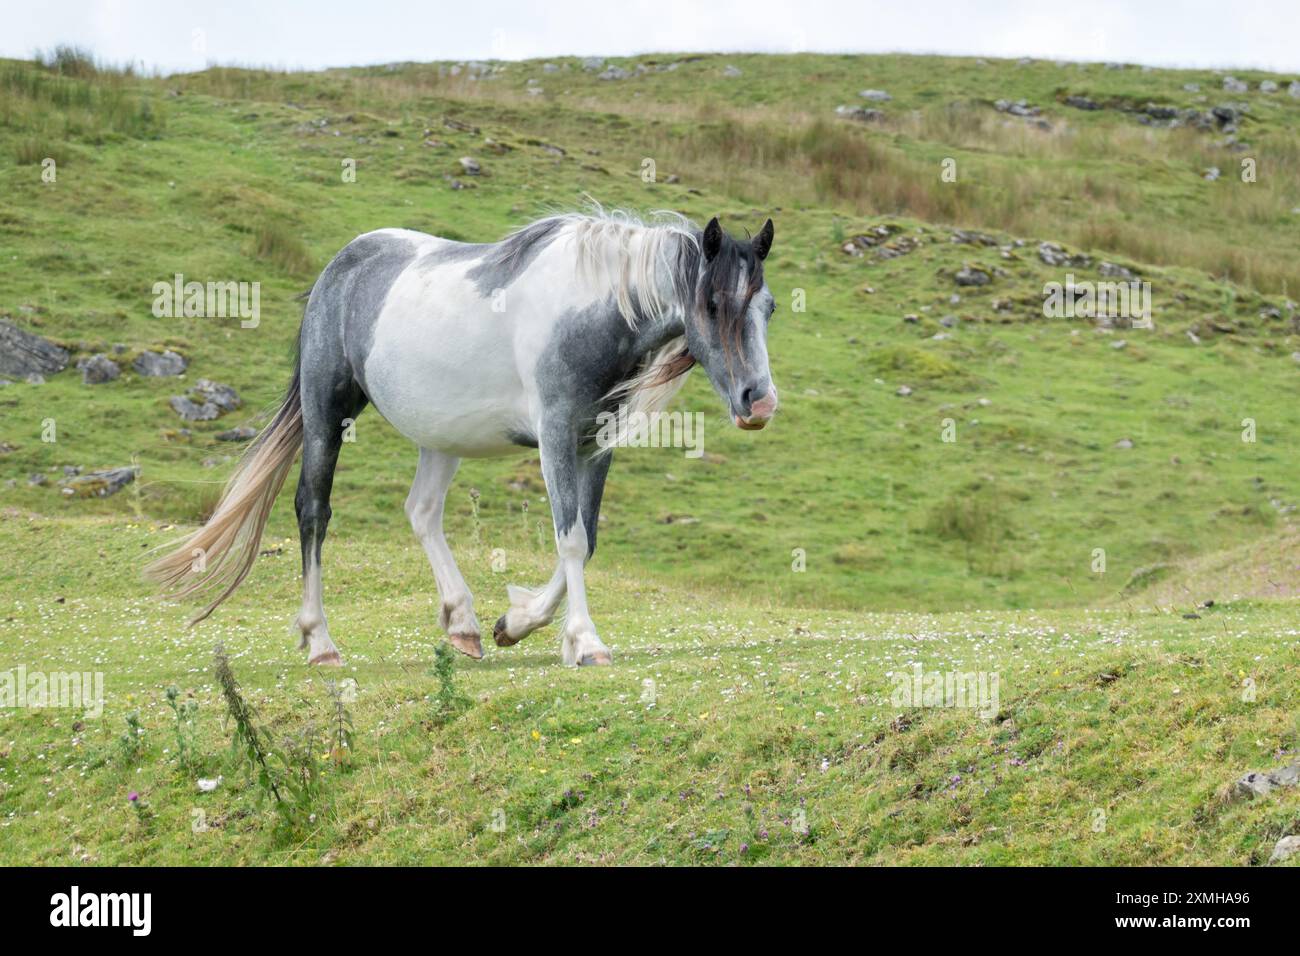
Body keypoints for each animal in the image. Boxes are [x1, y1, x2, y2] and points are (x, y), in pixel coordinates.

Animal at [152, 210, 780, 671]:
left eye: (768, 306)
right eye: (713, 303)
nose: (760, 402)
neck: (588, 311)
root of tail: (341, 265)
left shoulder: (596, 445)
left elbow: (588, 539)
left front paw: (517, 622)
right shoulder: (555, 436)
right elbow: (571, 539)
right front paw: (585, 641)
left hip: (439, 437)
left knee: (422, 512)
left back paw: (463, 623)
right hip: (327, 412)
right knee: (313, 509)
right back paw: (321, 642)